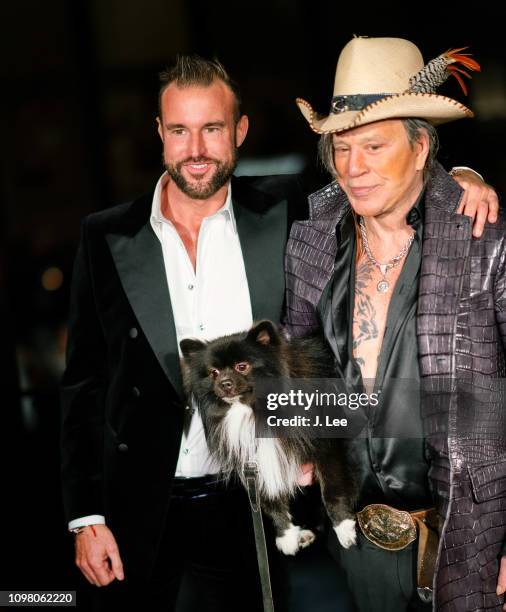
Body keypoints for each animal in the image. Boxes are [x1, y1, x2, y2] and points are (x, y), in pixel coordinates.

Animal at [180, 320, 358, 556]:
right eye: (213, 372)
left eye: (242, 366)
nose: (224, 383)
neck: (253, 411)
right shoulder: (255, 462)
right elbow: (271, 501)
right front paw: (287, 536)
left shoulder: (326, 447)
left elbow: (332, 489)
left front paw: (344, 528)